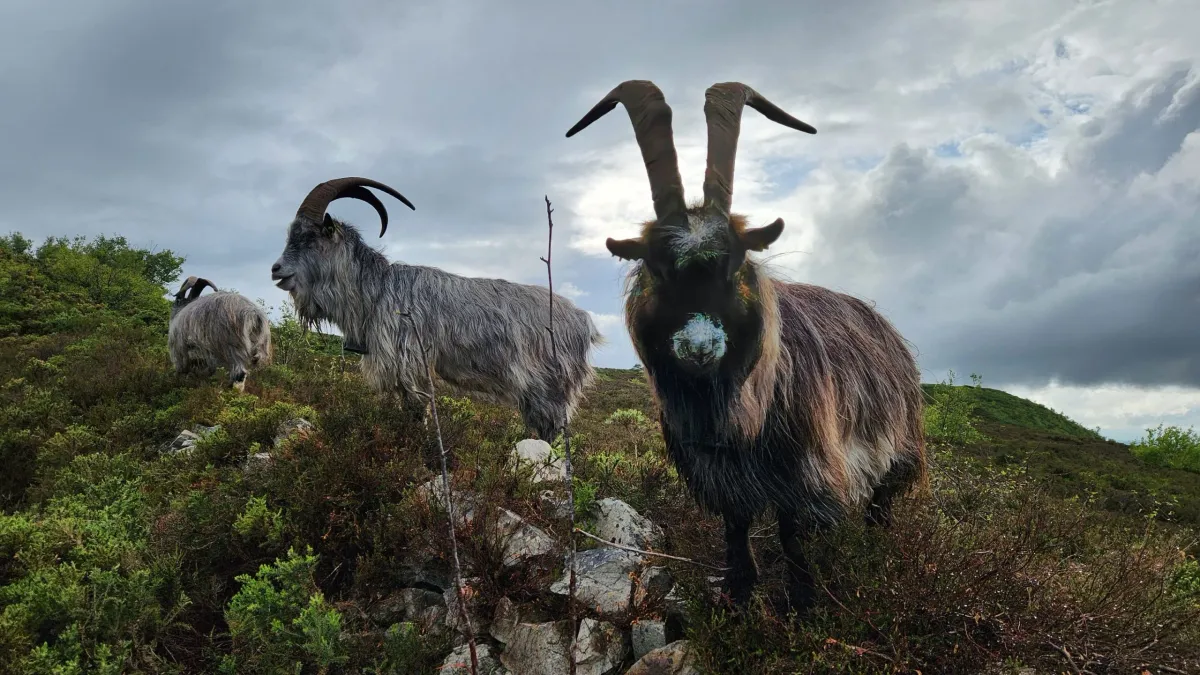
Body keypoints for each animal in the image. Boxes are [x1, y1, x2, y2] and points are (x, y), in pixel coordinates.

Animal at [269, 177, 604, 441]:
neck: (377, 291)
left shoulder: (409, 361)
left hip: (549, 386)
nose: (276, 269)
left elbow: (416, 411)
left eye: (309, 237)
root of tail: (583, 321)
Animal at [565, 81, 926, 613]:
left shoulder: (802, 468)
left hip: (898, 448)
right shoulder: (717, 470)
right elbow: (736, 527)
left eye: (734, 264)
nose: (699, 348)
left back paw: (874, 551)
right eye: (656, 266)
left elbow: (792, 533)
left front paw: (802, 602)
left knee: (881, 505)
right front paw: (738, 592)